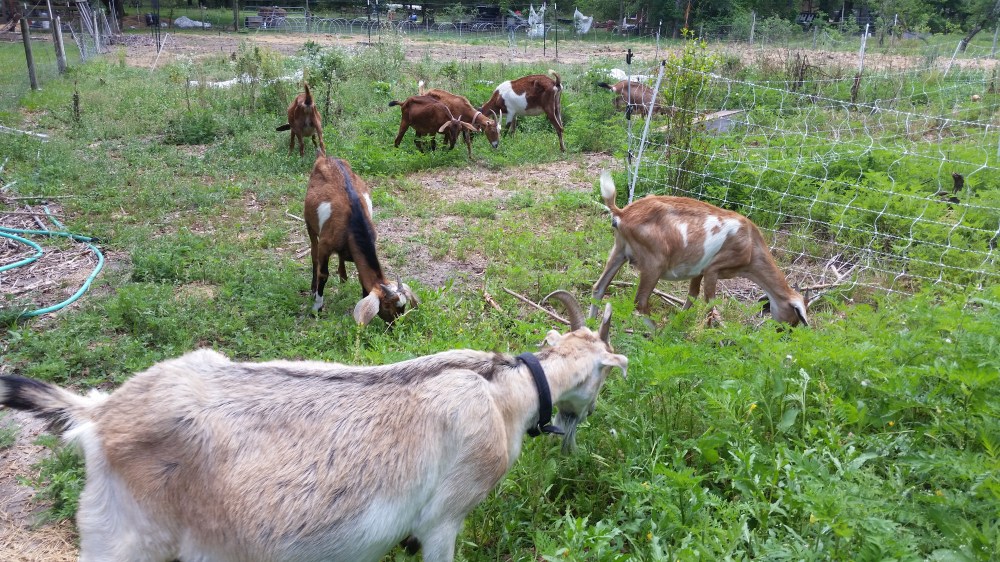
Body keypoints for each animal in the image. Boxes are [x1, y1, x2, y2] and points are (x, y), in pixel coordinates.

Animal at [0, 292, 627, 562]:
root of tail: (99, 414)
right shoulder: (445, 518)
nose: (575, 433)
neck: (502, 391)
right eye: (603, 374)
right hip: (123, 540)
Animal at [305, 154, 418, 325]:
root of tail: (325, 157)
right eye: (386, 306)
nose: (395, 326)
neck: (352, 221)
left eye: (403, 306)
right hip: (309, 224)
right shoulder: (325, 245)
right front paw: (317, 308)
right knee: (313, 253)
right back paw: (313, 288)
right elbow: (323, 274)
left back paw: (343, 278)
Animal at [590, 170, 808, 326]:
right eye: (794, 319)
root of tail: (622, 214)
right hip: (654, 262)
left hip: (619, 251)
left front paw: (679, 323)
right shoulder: (713, 269)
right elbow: (710, 304)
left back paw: (591, 325)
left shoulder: (698, 270)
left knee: (598, 287)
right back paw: (656, 331)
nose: (781, 332)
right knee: (640, 301)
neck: (750, 245)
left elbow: (692, 296)